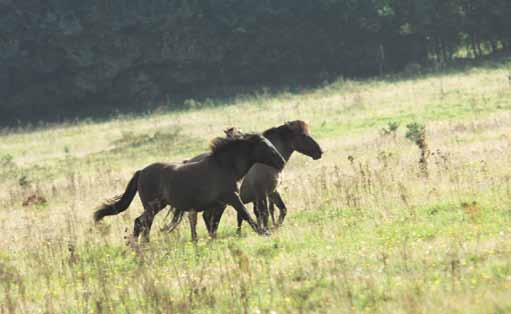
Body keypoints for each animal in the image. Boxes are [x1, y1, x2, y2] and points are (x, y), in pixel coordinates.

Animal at [93, 134, 286, 242]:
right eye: (264, 146)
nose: (281, 162)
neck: (224, 167)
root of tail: (141, 172)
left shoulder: (219, 203)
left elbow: (213, 222)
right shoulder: (231, 198)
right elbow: (245, 215)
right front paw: (264, 232)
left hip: (158, 205)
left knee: (143, 222)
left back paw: (142, 244)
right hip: (152, 205)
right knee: (141, 222)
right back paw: (140, 245)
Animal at [165, 120, 324, 240]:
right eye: (303, 135)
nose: (320, 152)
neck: (264, 163)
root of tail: (186, 163)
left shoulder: (273, 192)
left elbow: (282, 210)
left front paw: (275, 226)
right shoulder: (261, 194)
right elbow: (264, 213)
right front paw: (266, 229)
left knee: (206, 217)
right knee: (201, 218)